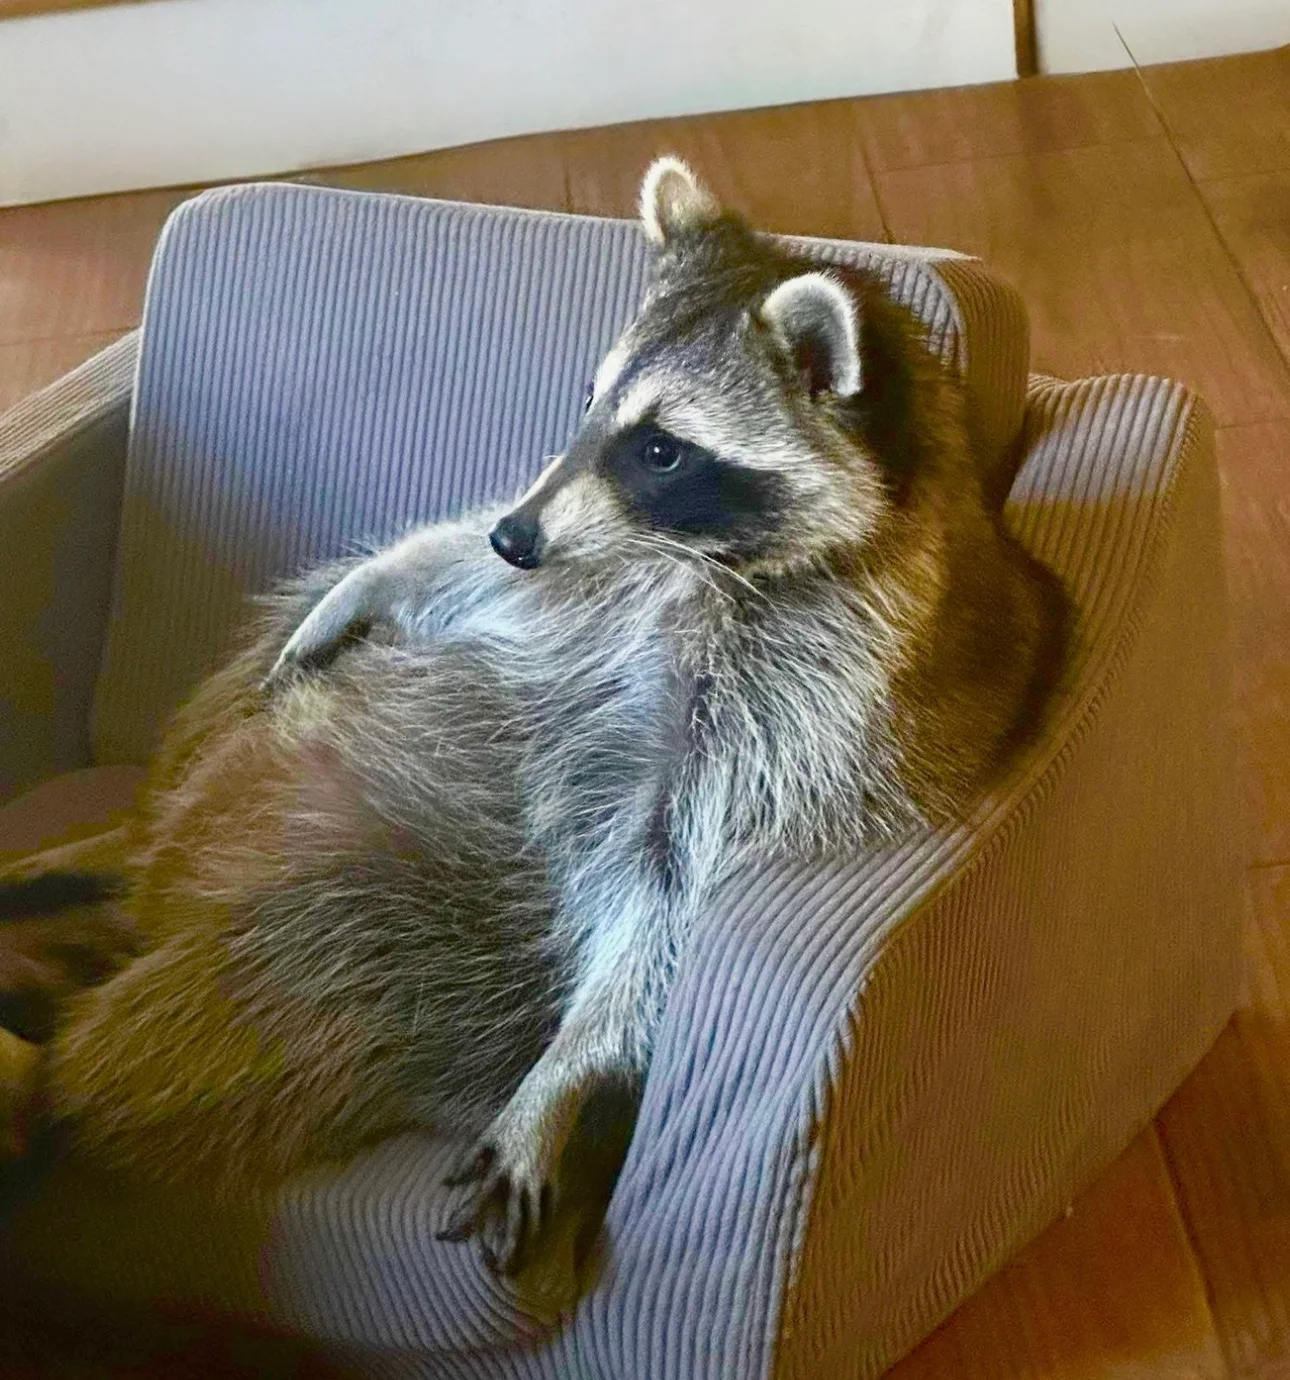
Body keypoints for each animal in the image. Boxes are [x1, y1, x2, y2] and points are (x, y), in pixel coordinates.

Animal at [0, 158, 1067, 1291]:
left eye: (662, 449)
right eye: (589, 400)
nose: (518, 534)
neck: (691, 564)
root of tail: (153, 905)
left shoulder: (806, 713)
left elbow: (662, 894)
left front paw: (562, 1079)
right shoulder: (574, 581)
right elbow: (455, 574)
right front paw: (403, 571)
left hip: (373, 940)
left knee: (211, 1003)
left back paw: (46, 1062)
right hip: (244, 737)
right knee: (236, 711)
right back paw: (90, 856)